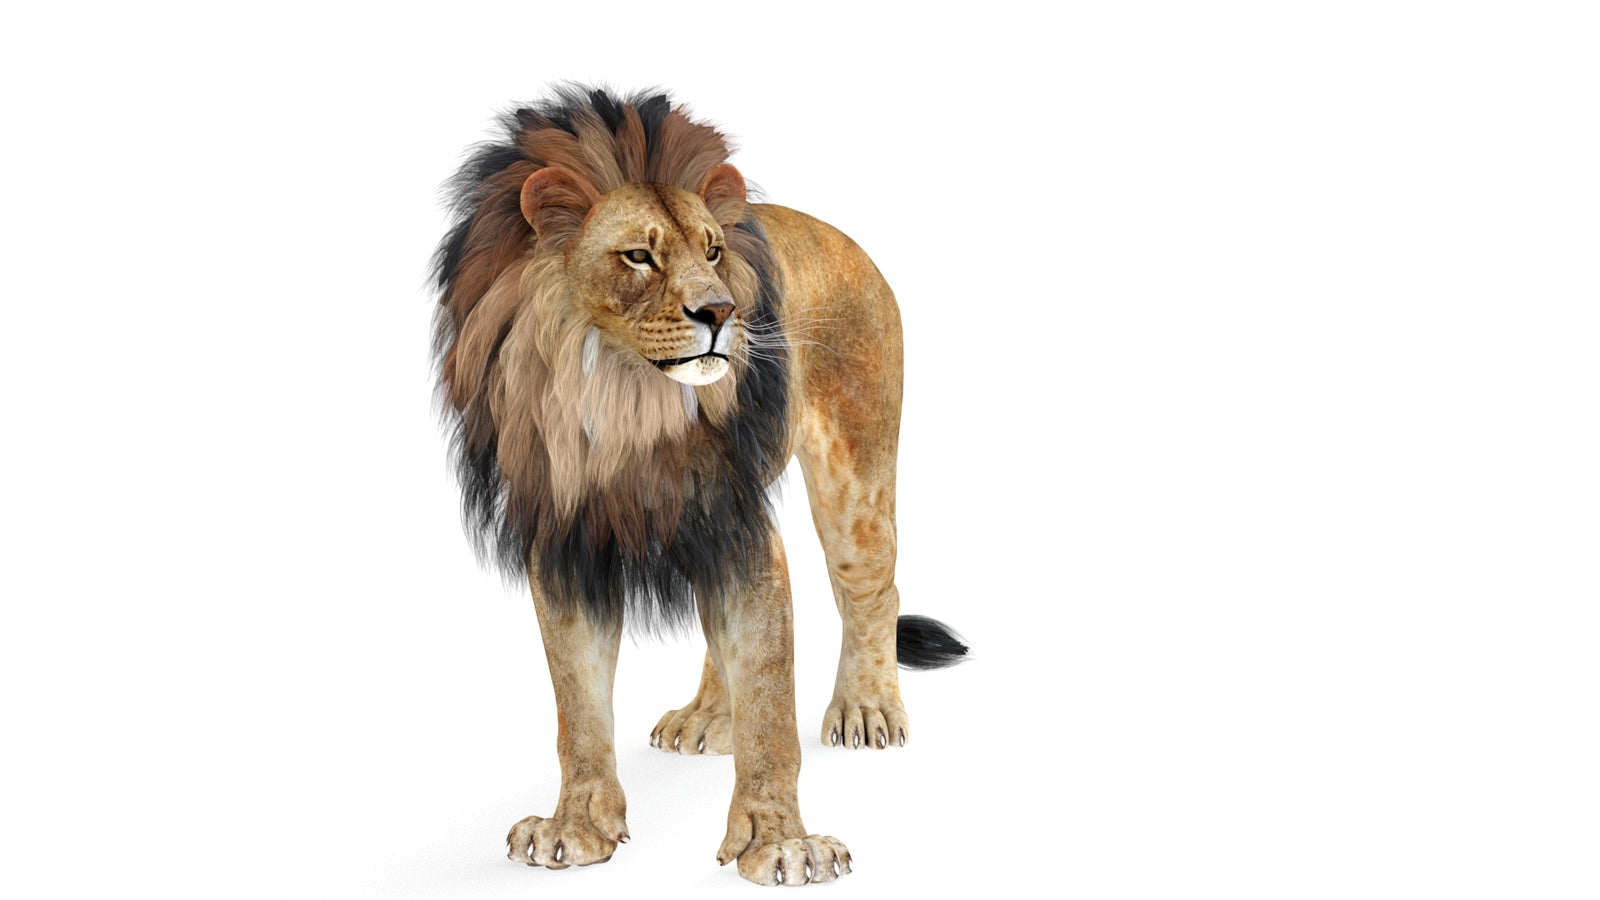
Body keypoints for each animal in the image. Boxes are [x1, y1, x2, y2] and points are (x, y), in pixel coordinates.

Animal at [431, 86, 967, 886]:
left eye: (713, 251)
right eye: (639, 255)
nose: (720, 312)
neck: (622, 402)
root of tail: (839, 235)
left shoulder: (735, 519)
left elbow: (773, 704)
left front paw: (782, 843)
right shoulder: (569, 546)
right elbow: (578, 706)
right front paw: (574, 827)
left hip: (855, 479)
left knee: (873, 588)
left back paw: (867, 706)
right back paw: (712, 716)